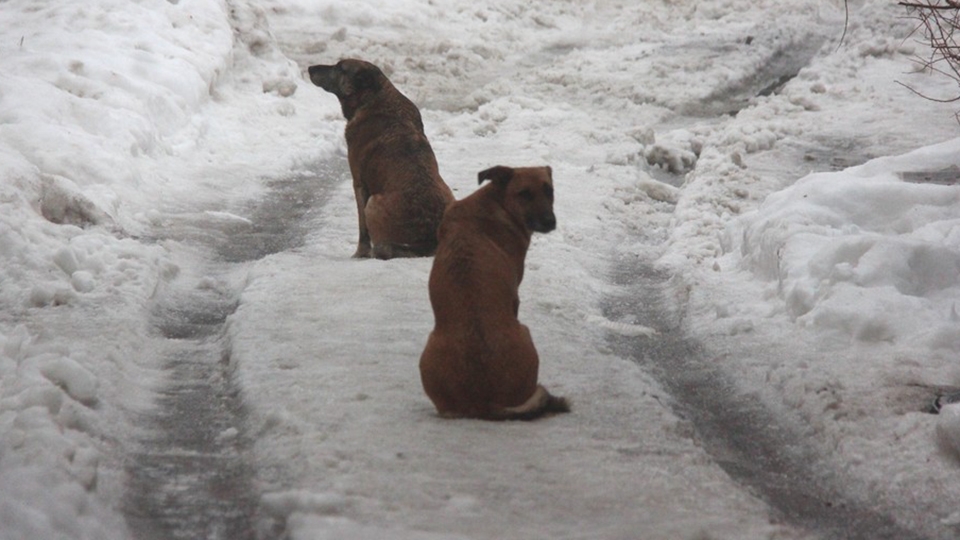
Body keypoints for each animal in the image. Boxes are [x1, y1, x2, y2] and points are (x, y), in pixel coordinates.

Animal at [310, 59, 456, 260]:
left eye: (340, 68)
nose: (309, 68)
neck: (373, 98)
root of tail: (428, 242)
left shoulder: (359, 184)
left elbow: (363, 229)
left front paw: (360, 253)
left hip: (373, 203)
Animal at [420, 165, 568, 422]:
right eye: (524, 194)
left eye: (549, 190)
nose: (549, 222)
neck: (497, 202)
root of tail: (484, 403)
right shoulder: (515, 296)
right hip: (525, 331)